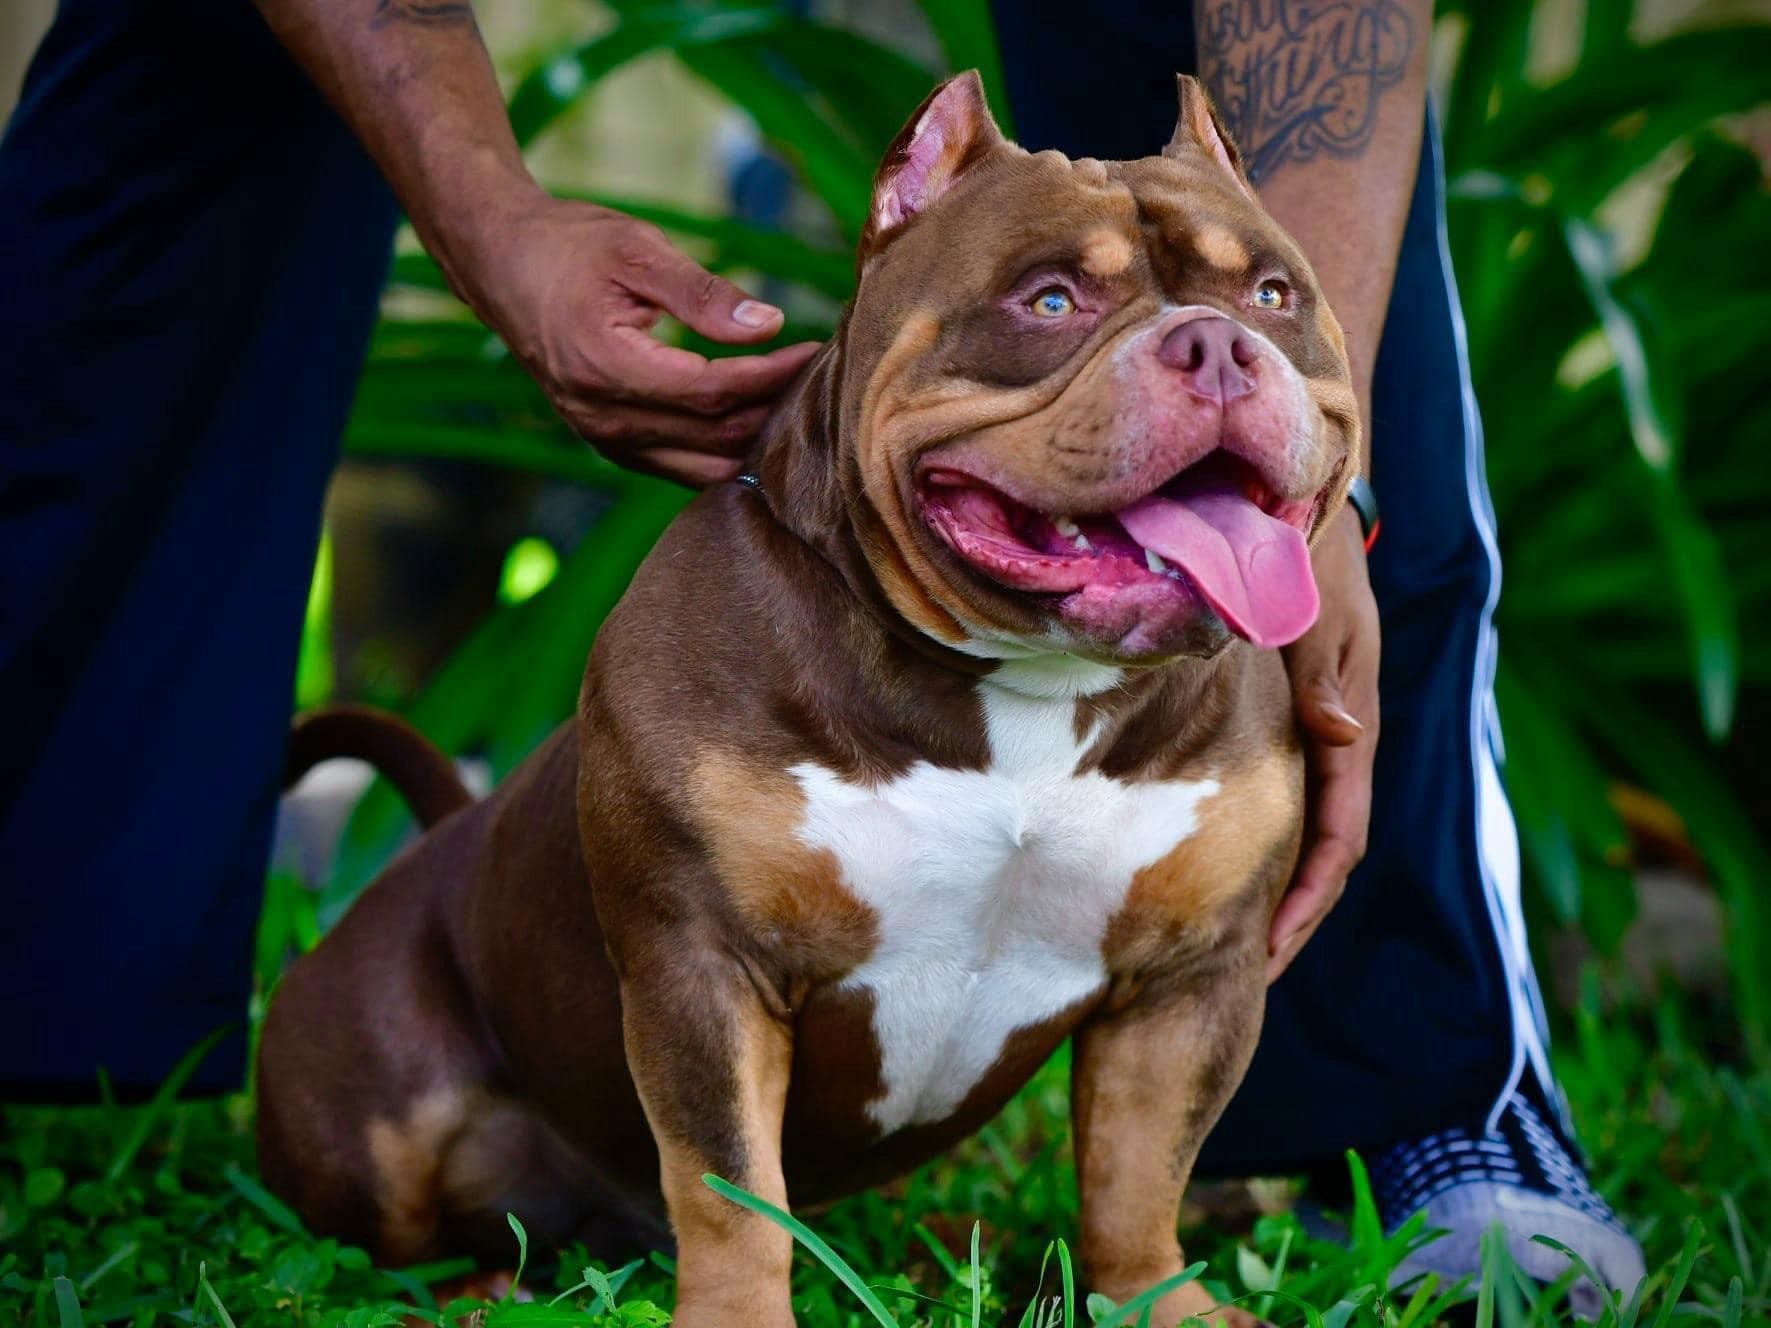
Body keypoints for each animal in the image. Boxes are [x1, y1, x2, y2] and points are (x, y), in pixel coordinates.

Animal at [258, 72, 1353, 1328]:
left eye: (1272, 294)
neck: (1024, 687)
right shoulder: (703, 965)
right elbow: (728, 1184)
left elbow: (1139, 1169)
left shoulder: (1189, 982)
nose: (1218, 344)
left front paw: (1156, 1302)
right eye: (1050, 299)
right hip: (375, 1119)